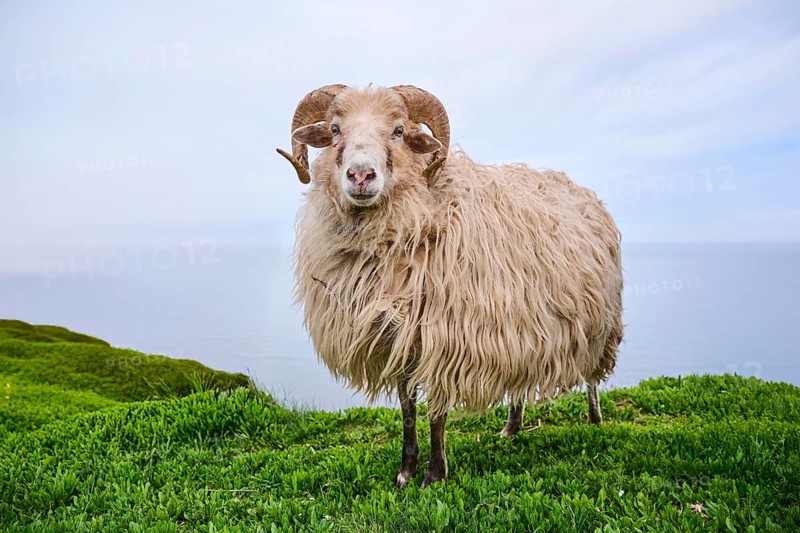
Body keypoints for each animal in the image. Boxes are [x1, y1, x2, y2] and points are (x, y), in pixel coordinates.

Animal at [276, 84, 623, 488]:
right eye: (334, 130)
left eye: (398, 130)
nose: (361, 175)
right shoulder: (400, 339)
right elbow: (407, 408)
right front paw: (406, 470)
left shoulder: (445, 338)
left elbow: (436, 413)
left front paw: (434, 474)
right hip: (525, 322)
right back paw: (512, 427)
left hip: (600, 319)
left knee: (593, 377)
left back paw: (594, 419)